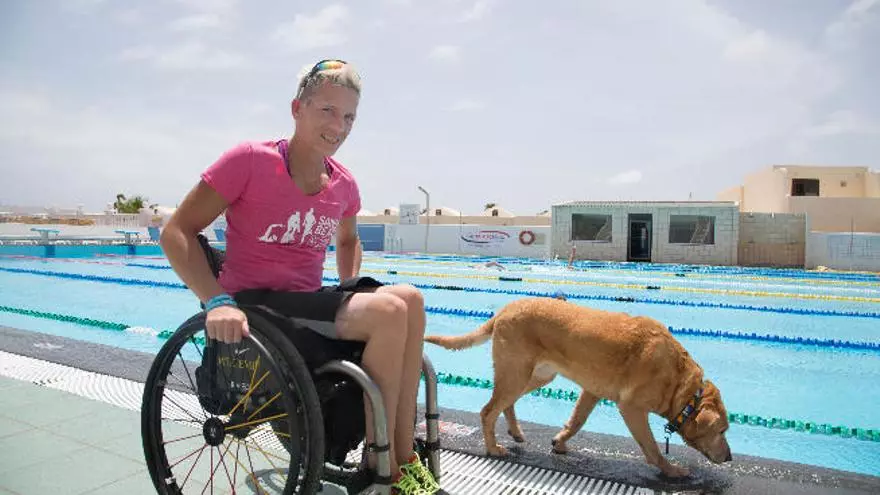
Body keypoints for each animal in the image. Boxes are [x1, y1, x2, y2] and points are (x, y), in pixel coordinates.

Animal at [424, 297, 732, 477]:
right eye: (722, 431)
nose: (729, 458)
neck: (683, 388)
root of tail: (505, 309)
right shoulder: (631, 409)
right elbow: (652, 448)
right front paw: (672, 471)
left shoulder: (591, 392)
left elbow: (577, 421)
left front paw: (560, 441)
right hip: (517, 374)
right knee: (488, 410)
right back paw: (492, 447)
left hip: (536, 376)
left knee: (505, 403)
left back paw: (515, 431)